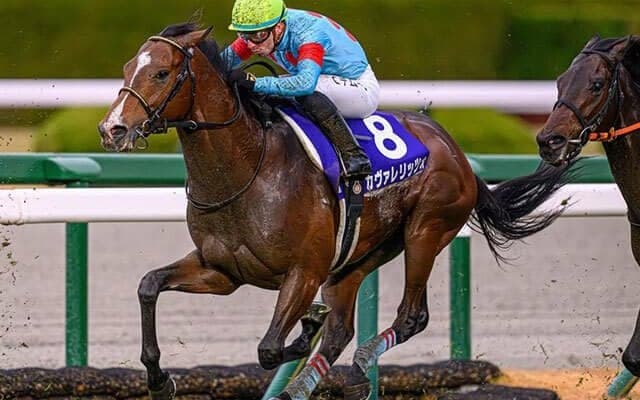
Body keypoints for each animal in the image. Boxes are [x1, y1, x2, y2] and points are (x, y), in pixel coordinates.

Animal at [98, 22, 573, 400]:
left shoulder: (304, 272)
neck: (246, 171)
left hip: (426, 231)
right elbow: (149, 285)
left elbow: (270, 348)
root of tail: (456, 151)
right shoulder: (223, 272)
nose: (112, 129)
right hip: (359, 256)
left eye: (161, 72)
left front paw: (306, 327)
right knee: (343, 329)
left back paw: (358, 365)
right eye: (127, 68)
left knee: (410, 316)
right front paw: (159, 379)